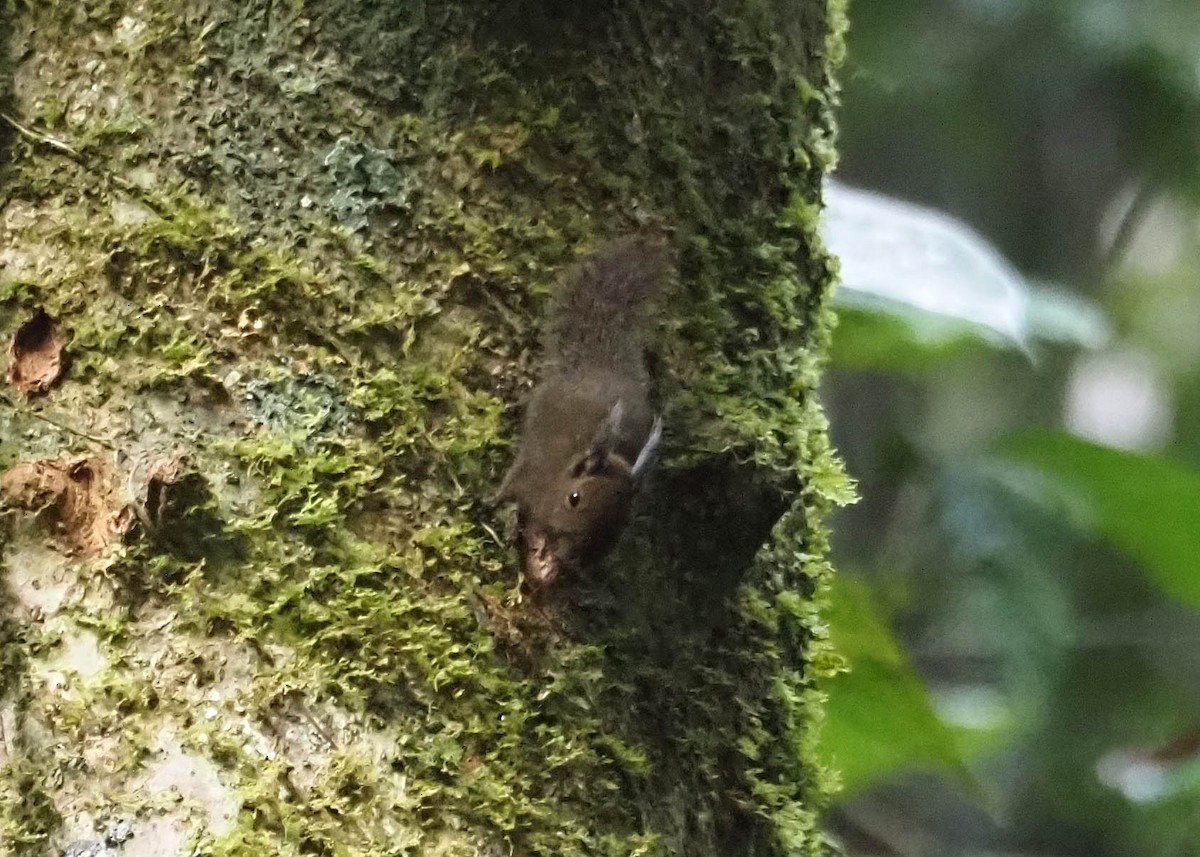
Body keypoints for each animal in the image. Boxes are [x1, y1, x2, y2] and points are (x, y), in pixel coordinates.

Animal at [492, 236, 669, 585]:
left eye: (619, 525)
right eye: (574, 499)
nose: (567, 558)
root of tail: (597, 367)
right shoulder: (531, 470)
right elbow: (510, 488)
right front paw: (490, 504)